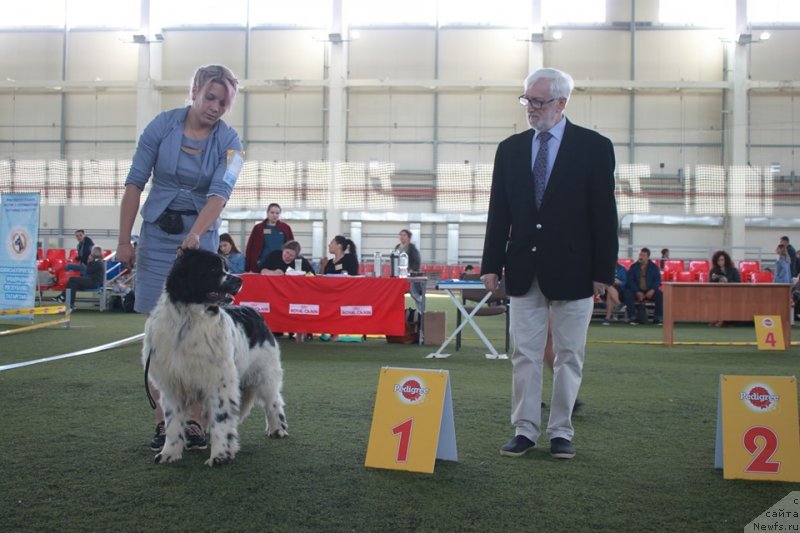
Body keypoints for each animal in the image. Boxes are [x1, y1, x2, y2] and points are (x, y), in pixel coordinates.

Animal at [144, 247, 288, 464]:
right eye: (212, 269)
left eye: (225, 267)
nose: (240, 280)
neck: (189, 322)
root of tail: (254, 311)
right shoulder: (172, 384)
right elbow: (173, 423)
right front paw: (169, 453)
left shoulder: (220, 381)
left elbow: (222, 418)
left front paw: (220, 456)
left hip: (265, 373)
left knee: (274, 400)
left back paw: (277, 429)